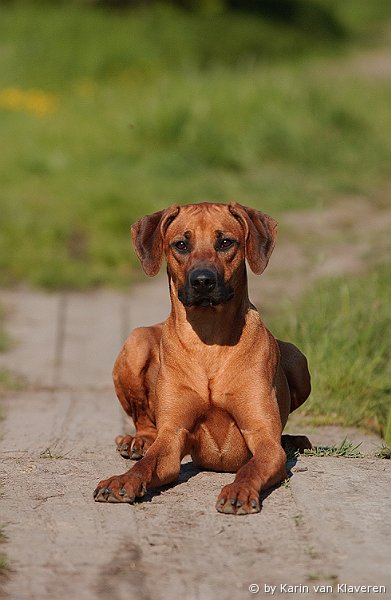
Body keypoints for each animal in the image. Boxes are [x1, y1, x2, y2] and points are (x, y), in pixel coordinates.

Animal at [95, 202, 312, 516]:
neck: (209, 342)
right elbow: (147, 463)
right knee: (144, 424)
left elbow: (251, 466)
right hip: (136, 341)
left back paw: (294, 440)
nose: (203, 281)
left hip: (297, 358)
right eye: (181, 244)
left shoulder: (263, 438)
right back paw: (138, 441)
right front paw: (123, 480)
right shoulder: (173, 436)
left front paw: (239, 489)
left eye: (225, 242)